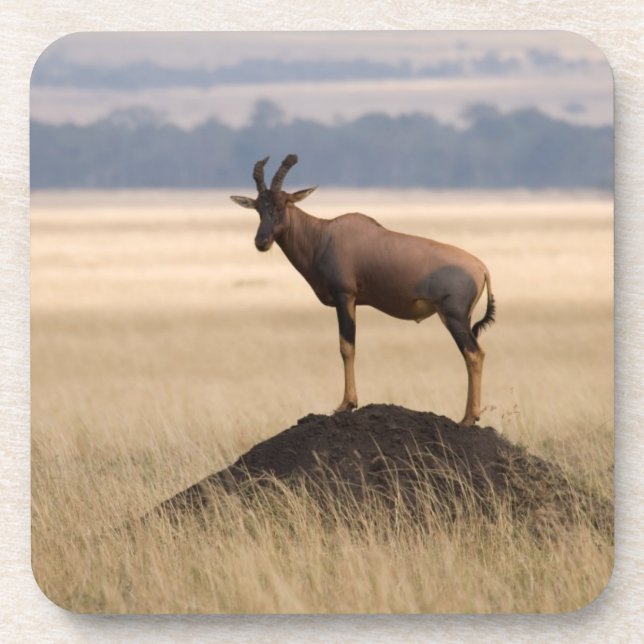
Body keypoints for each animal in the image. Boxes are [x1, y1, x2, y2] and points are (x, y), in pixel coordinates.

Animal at [230, 154, 495, 425]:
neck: (324, 235)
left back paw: (468, 418)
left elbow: (347, 347)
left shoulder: (344, 296)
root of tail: (481, 267)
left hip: (453, 317)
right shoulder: (353, 301)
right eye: (258, 208)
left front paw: (346, 404)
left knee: (474, 354)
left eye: (282, 205)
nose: (261, 242)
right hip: (464, 318)